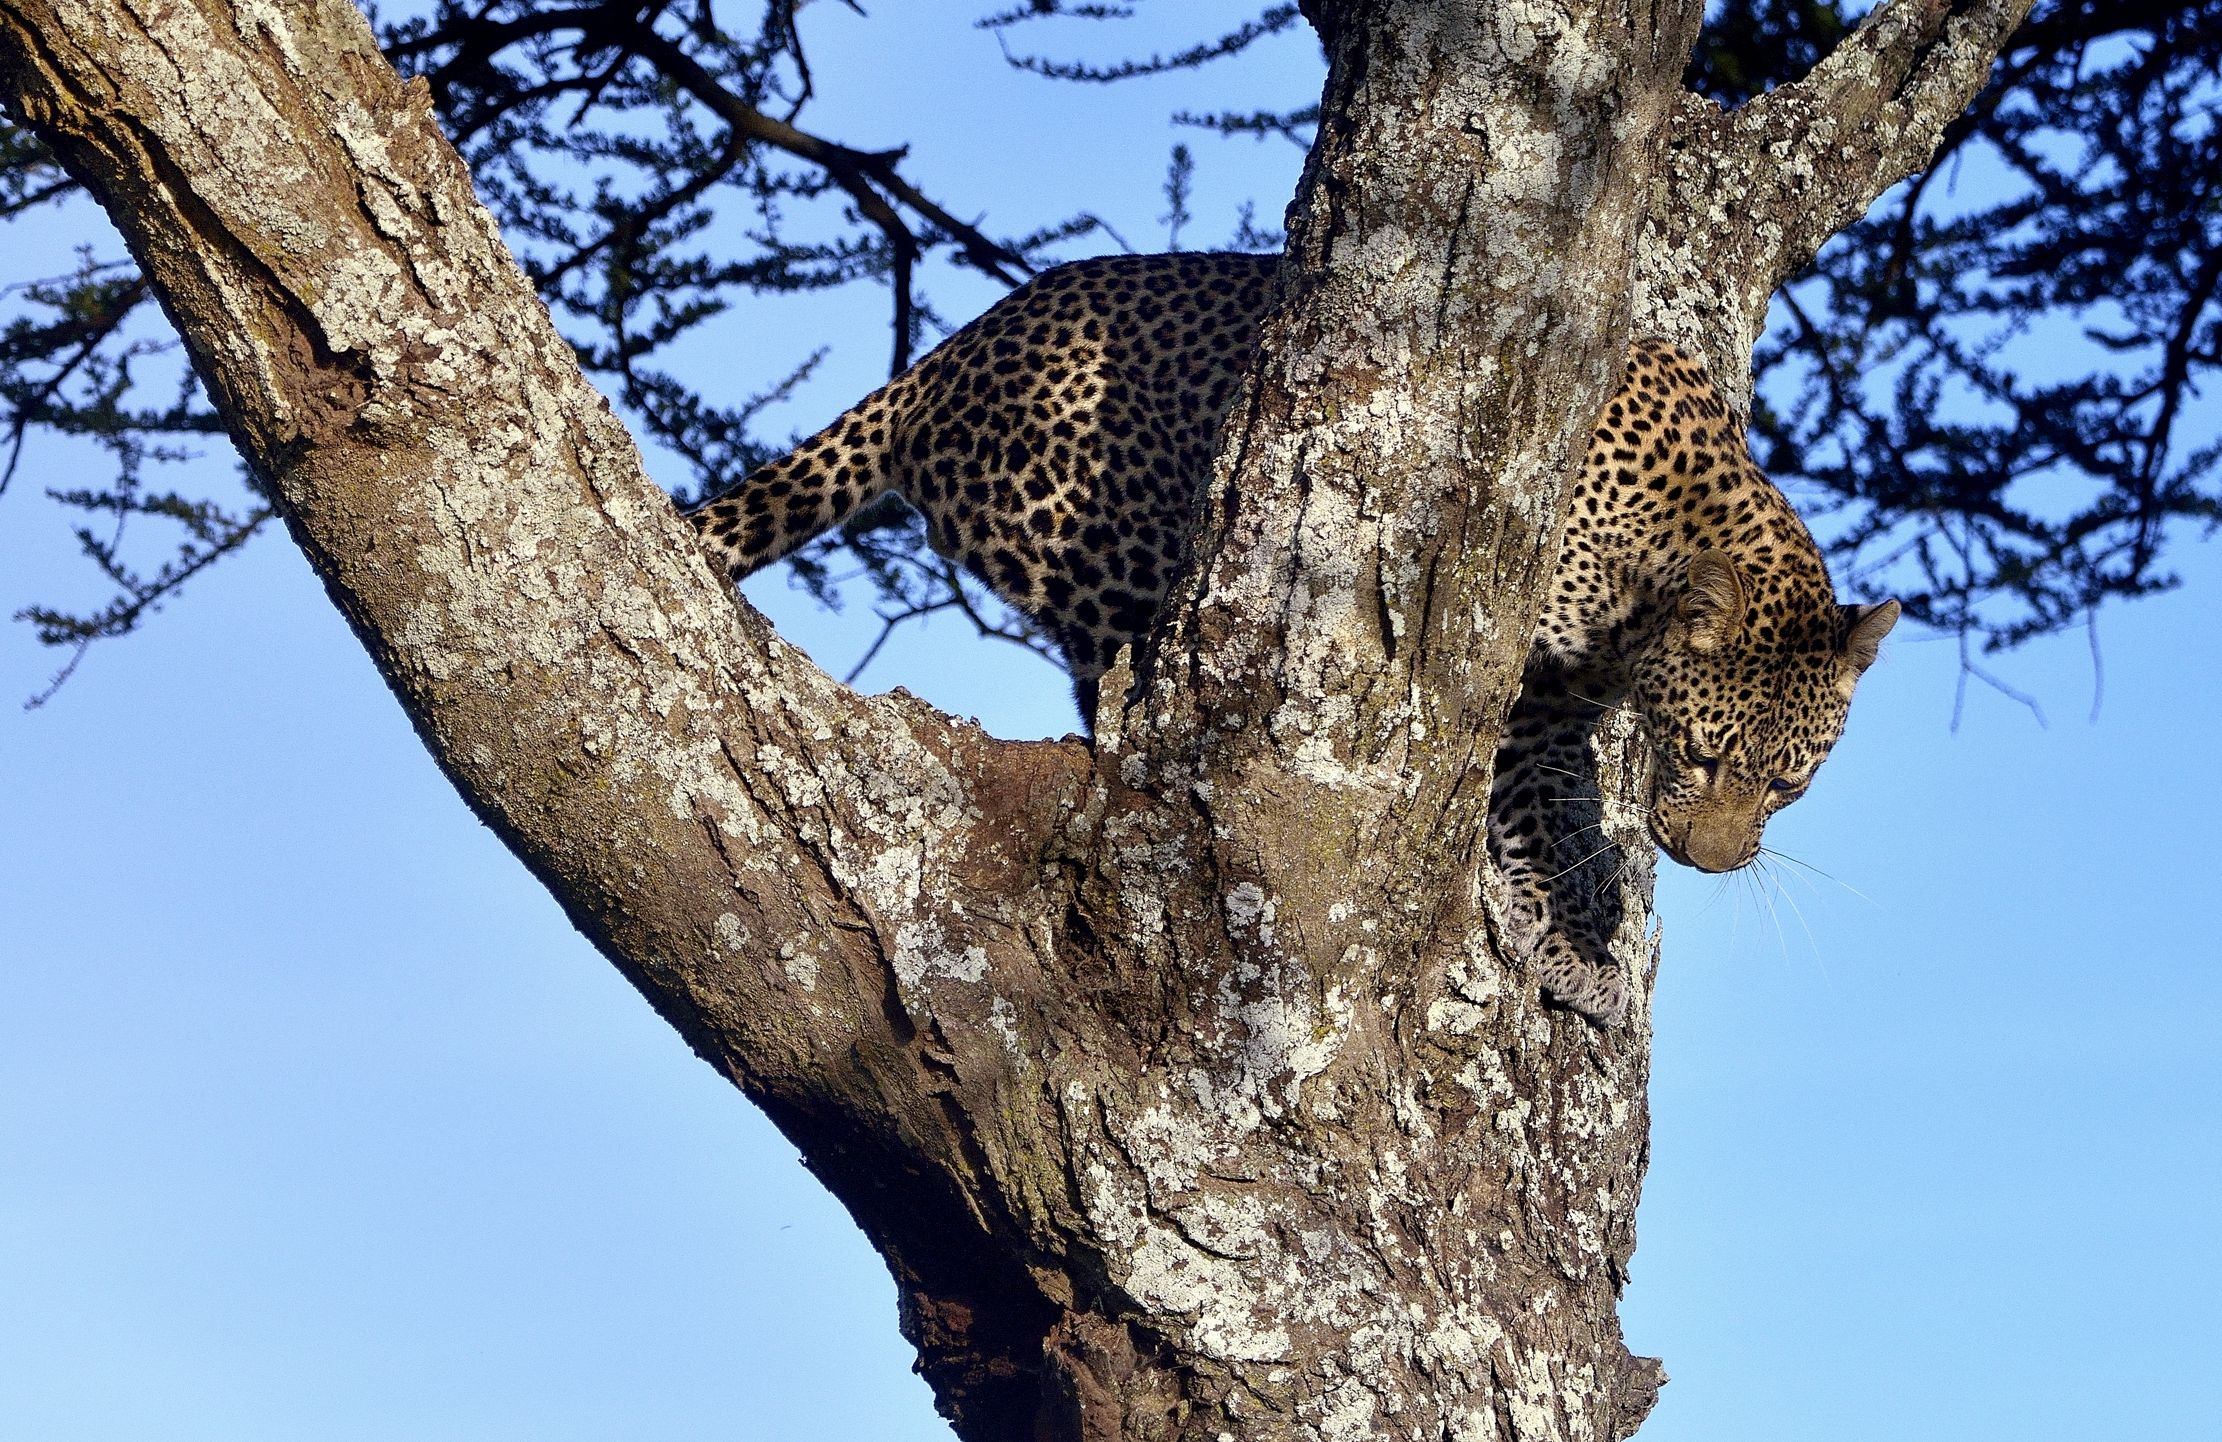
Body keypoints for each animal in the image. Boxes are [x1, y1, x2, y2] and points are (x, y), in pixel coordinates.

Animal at [687, 252, 1898, 1026]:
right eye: (1700, 753)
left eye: (1785, 784)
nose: (1709, 861)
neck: (1656, 556)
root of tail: (940, 360)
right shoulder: (1515, 682)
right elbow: (1521, 814)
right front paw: (1556, 937)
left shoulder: (1565, 701)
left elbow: (1555, 807)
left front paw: (1583, 934)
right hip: (1094, 538)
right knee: (1124, 669)